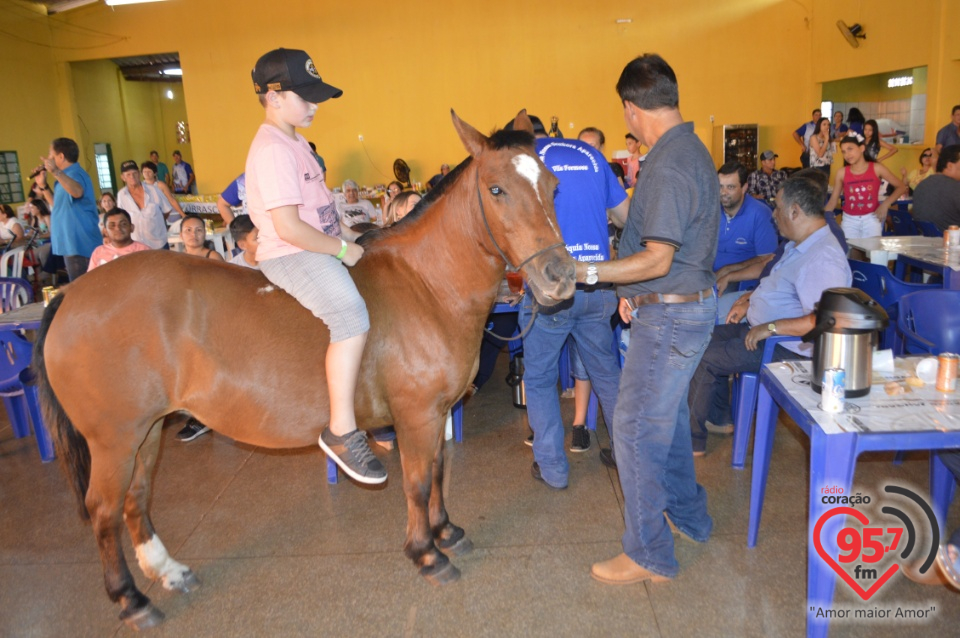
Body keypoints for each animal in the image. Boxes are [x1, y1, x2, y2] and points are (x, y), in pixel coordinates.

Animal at [35, 111, 576, 632]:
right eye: (496, 189)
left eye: (553, 184)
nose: (561, 277)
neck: (425, 283)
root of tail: (70, 295)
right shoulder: (417, 415)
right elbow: (420, 481)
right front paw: (426, 553)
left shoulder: (435, 413)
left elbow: (439, 473)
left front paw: (447, 531)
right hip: (114, 439)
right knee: (104, 511)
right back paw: (130, 599)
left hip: (144, 434)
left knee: (136, 499)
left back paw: (167, 571)